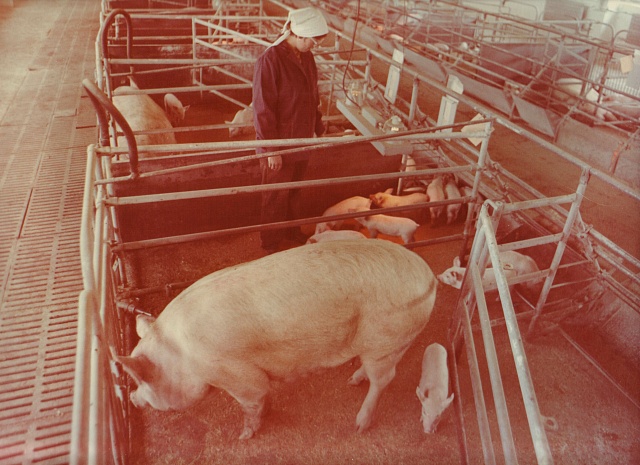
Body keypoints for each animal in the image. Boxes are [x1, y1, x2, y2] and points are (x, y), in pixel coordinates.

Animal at [116, 239, 437, 440]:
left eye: (143, 380)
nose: (131, 399)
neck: (181, 356)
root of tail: (429, 277)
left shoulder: (234, 373)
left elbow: (253, 399)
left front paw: (244, 436)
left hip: (384, 340)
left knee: (384, 380)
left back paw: (360, 425)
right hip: (391, 342)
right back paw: (352, 381)